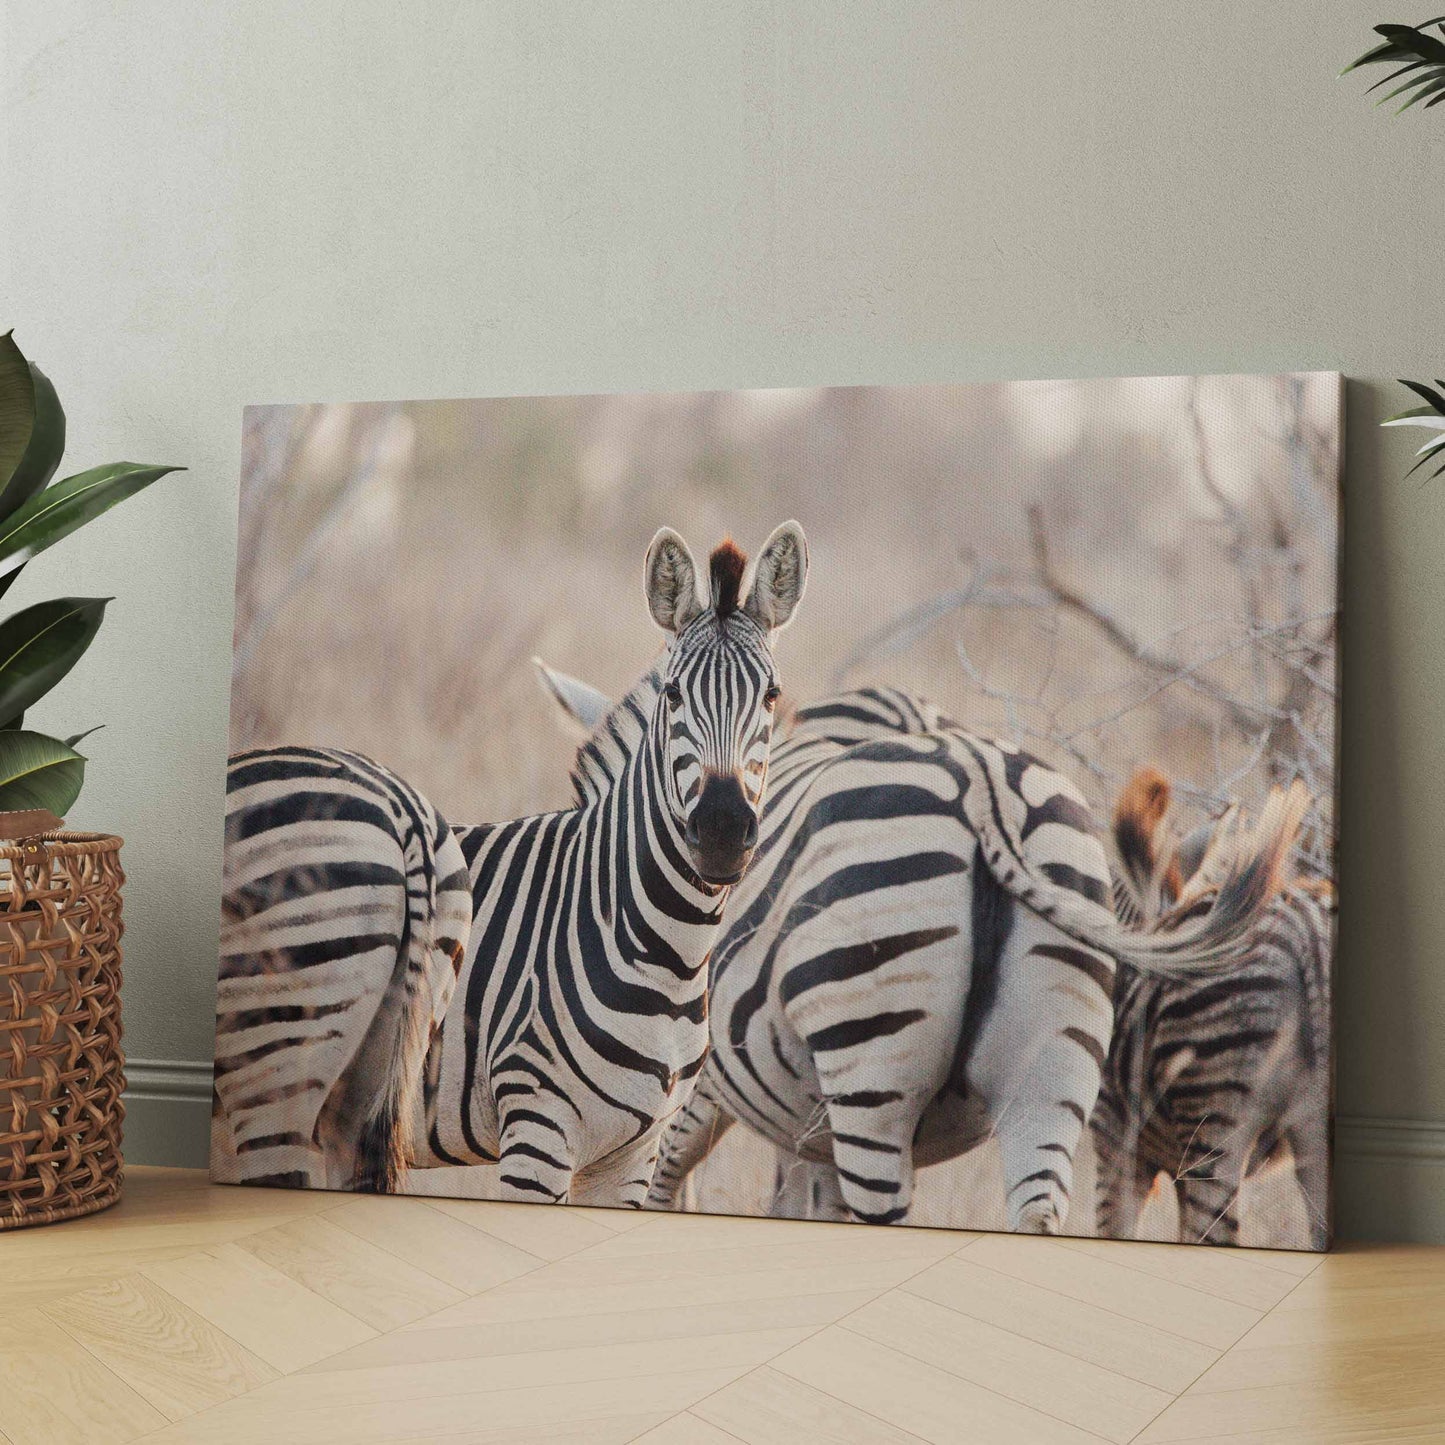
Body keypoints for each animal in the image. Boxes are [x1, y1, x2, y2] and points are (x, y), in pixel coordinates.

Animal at [534, 670, 1297, 1232]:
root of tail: (984, 786)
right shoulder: (801, 1121)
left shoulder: (693, 1091)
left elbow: (666, 1189)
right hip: (1054, 1070)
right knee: (1037, 1211)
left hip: (873, 1069)